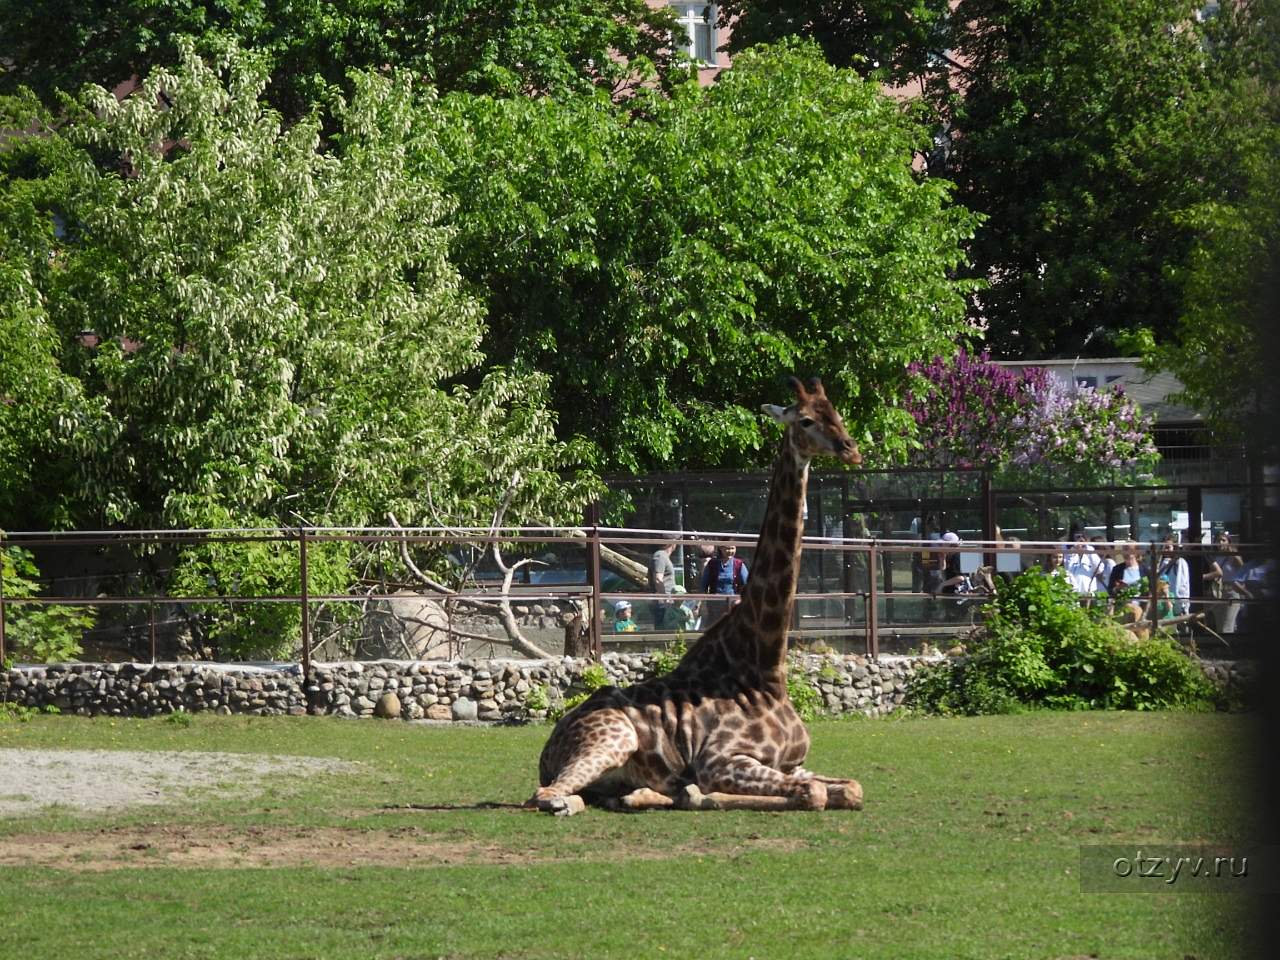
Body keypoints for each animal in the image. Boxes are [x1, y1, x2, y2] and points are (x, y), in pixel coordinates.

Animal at [524, 378, 865, 814]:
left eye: (835, 412)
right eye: (806, 419)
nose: (850, 449)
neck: (767, 670)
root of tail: (548, 747)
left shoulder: (794, 764)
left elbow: (851, 788)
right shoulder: (720, 760)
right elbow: (813, 793)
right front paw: (701, 792)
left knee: (614, 795)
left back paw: (648, 794)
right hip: (614, 738)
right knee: (547, 795)